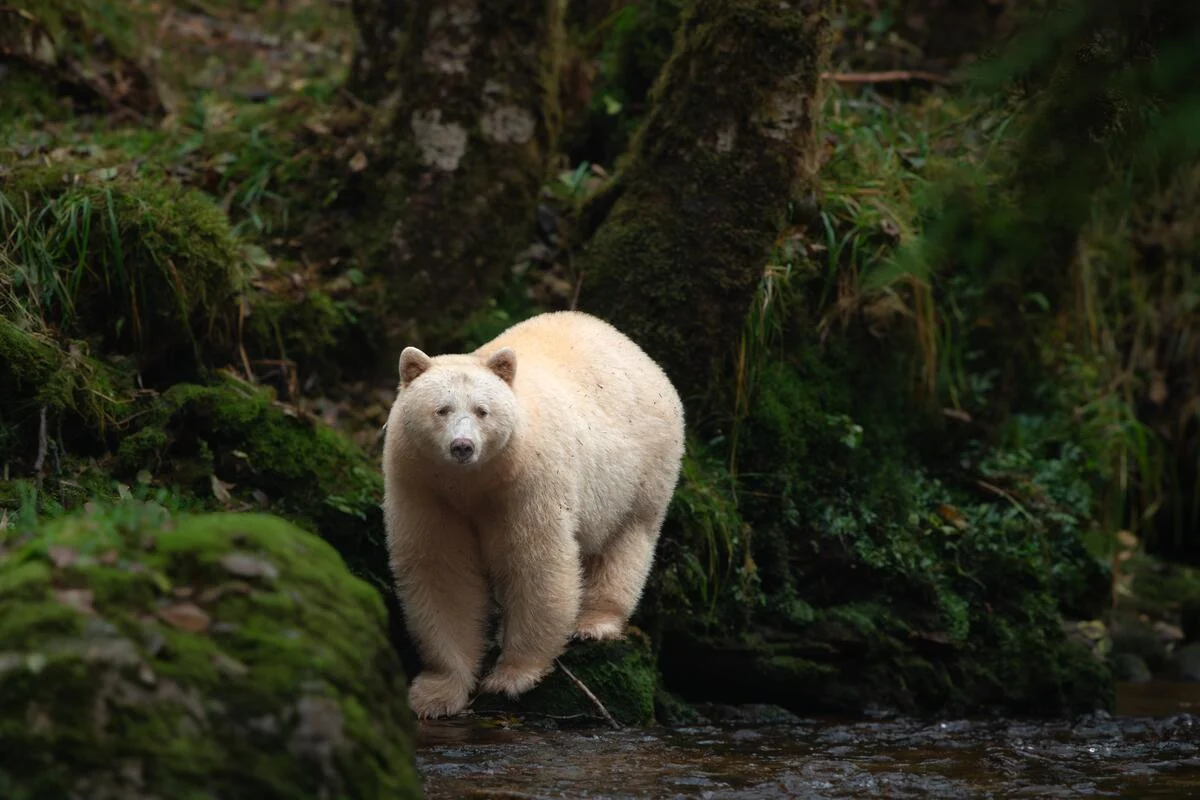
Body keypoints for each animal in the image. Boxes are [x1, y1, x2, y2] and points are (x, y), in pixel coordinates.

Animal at [381, 310, 686, 719]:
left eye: (482, 410)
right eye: (441, 409)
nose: (463, 446)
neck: (471, 482)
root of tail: (633, 348)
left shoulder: (527, 481)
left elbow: (535, 561)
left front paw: (512, 675)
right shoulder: (423, 487)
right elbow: (442, 570)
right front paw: (436, 692)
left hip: (643, 465)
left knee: (628, 538)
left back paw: (596, 621)